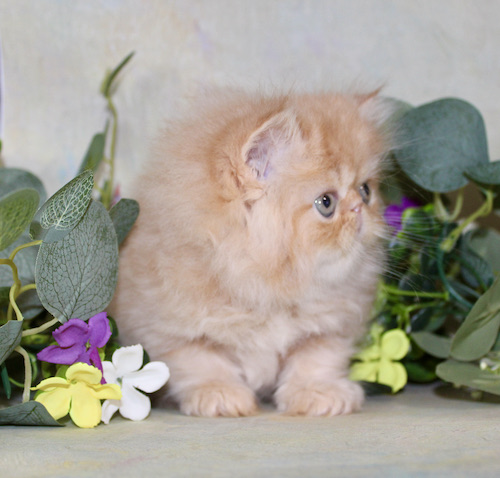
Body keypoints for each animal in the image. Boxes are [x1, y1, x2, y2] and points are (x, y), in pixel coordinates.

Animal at [109, 89, 392, 417]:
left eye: (366, 191)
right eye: (326, 203)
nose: (359, 209)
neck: (269, 289)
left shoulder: (331, 326)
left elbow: (316, 360)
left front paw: (319, 393)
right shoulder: (169, 329)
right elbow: (200, 362)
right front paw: (219, 395)